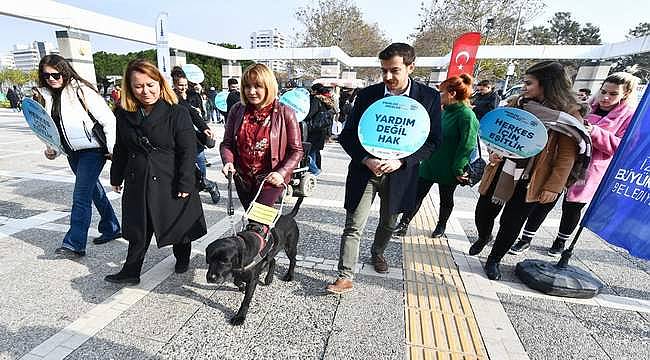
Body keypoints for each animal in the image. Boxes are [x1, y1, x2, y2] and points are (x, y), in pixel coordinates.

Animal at [204, 197, 302, 326]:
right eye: (209, 260)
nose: (211, 278)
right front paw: (241, 286)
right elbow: (236, 281)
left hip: (289, 247)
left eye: (225, 261)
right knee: (272, 260)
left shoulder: (252, 280)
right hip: (270, 252)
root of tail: (288, 216)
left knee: (293, 260)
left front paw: (240, 317)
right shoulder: (238, 270)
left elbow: (246, 300)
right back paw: (269, 278)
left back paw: (289, 275)